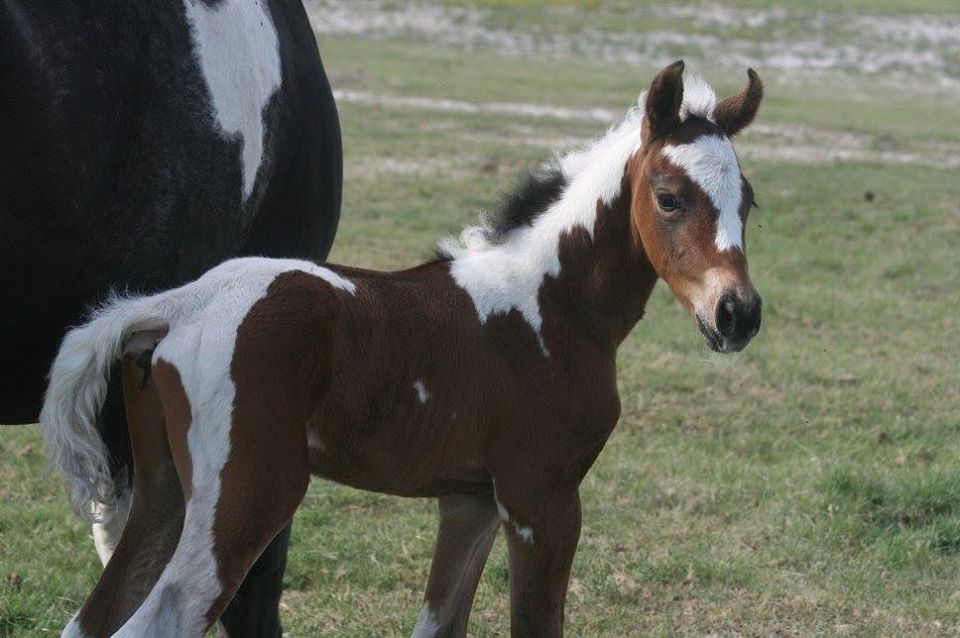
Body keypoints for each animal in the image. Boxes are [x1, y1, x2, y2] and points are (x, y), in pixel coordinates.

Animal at [43, 61, 764, 638]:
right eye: (669, 198)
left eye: (748, 202)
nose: (738, 314)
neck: (550, 305)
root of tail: (175, 307)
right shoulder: (542, 501)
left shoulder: (471, 503)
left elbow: (440, 623)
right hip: (244, 501)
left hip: (163, 498)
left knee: (89, 620)